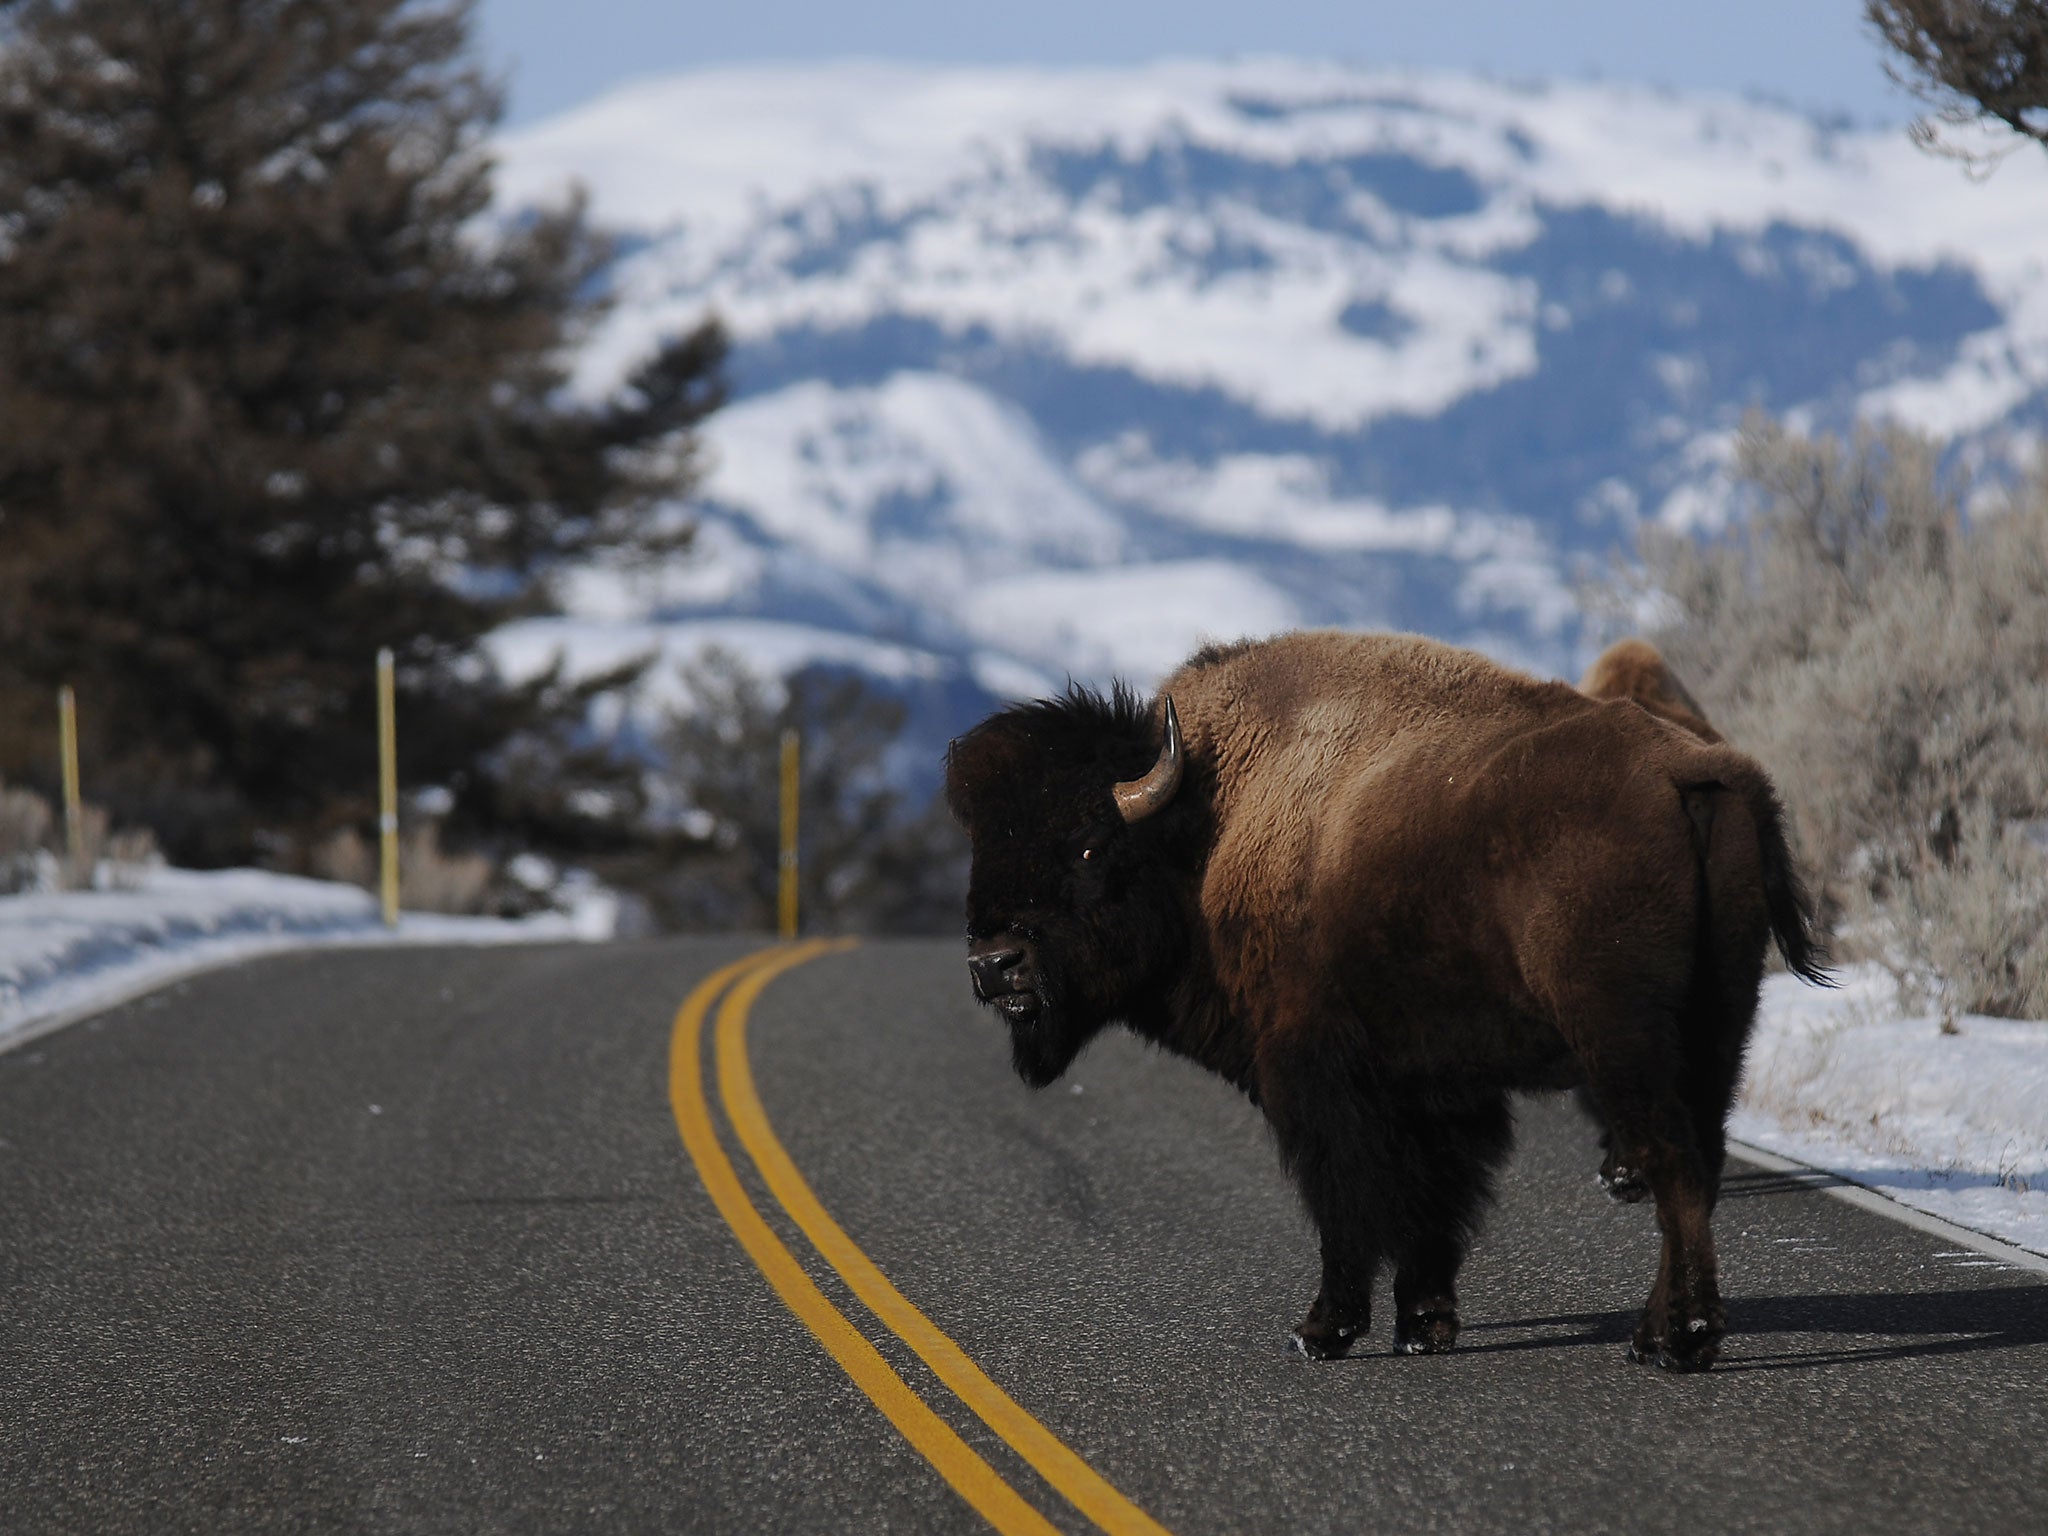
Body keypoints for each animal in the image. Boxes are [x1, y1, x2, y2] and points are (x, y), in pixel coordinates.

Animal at [942, 630, 1826, 1376]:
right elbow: (1432, 1203)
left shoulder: (1314, 1081)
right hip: (1720, 1026)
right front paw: (1423, 1325)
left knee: (1671, 1160)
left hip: (1621, 1039)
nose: (993, 964)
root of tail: (1690, 773)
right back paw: (1657, 1334)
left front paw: (1322, 1331)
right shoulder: (1436, 1090)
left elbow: (1349, 1201)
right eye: (982, 848)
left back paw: (1681, 1343)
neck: (1211, 825)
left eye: (1089, 846)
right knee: (1700, 1163)